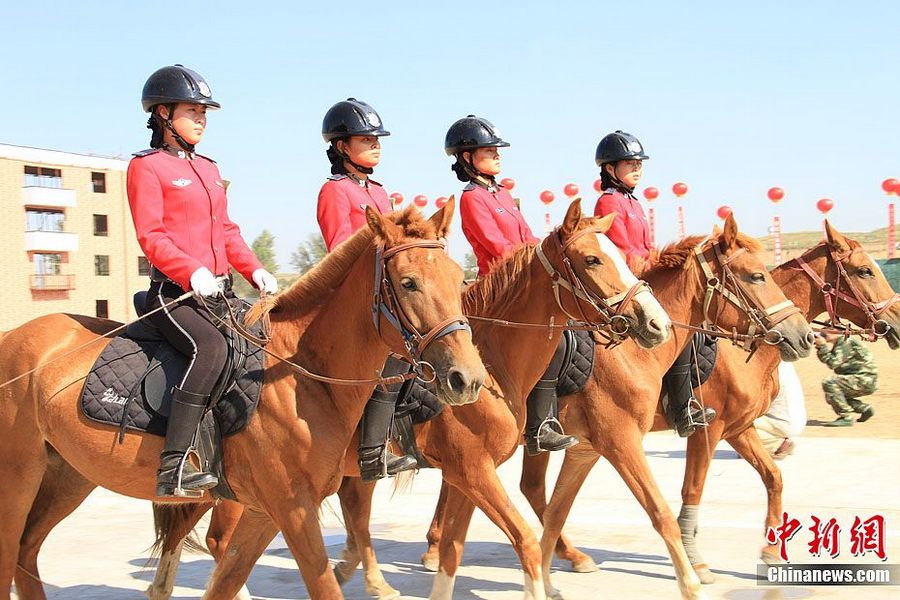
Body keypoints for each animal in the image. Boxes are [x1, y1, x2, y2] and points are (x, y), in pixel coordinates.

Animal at [1, 203, 492, 600]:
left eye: (457, 277)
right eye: (408, 283)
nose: (466, 378)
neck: (300, 376)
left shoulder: (263, 513)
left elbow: (226, 581)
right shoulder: (293, 508)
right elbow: (322, 583)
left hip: (67, 478)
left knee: (27, 552)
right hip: (18, 481)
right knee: (13, 555)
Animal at [141, 199, 672, 600]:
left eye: (456, 275)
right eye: (592, 259)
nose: (657, 323)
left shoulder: (465, 473)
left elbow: (458, 544)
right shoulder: (472, 468)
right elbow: (521, 537)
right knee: (216, 537)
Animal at [420, 216, 816, 600]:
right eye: (756, 275)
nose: (804, 335)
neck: (633, 354)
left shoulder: (589, 450)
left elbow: (558, 513)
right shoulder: (629, 441)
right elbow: (667, 507)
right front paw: (694, 576)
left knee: (522, 490)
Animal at [512, 221, 900, 584]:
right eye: (865, 270)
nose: (803, 336)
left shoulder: (739, 429)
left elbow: (773, 477)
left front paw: (770, 551)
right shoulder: (704, 430)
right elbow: (693, 489)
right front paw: (695, 561)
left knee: (533, 489)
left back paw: (570, 554)